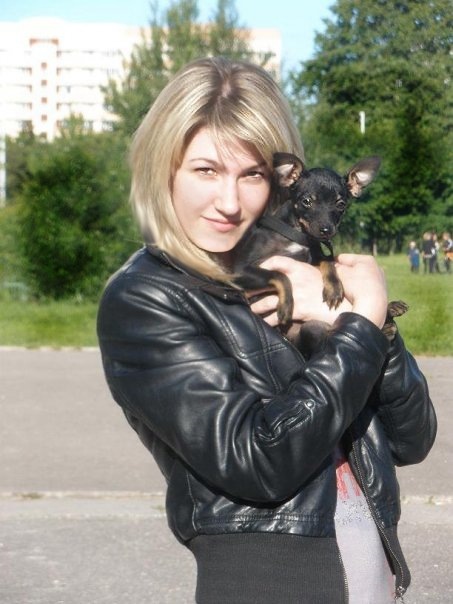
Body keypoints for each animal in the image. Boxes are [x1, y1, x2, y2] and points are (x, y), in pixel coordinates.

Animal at [232, 152, 407, 349]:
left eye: (341, 205)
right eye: (306, 201)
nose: (326, 230)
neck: (298, 235)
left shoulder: (314, 258)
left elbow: (327, 261)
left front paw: (334, 287)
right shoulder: (241, 271)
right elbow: (279, 275)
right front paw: (286, 305)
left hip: (312, 328)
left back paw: (391, 312)